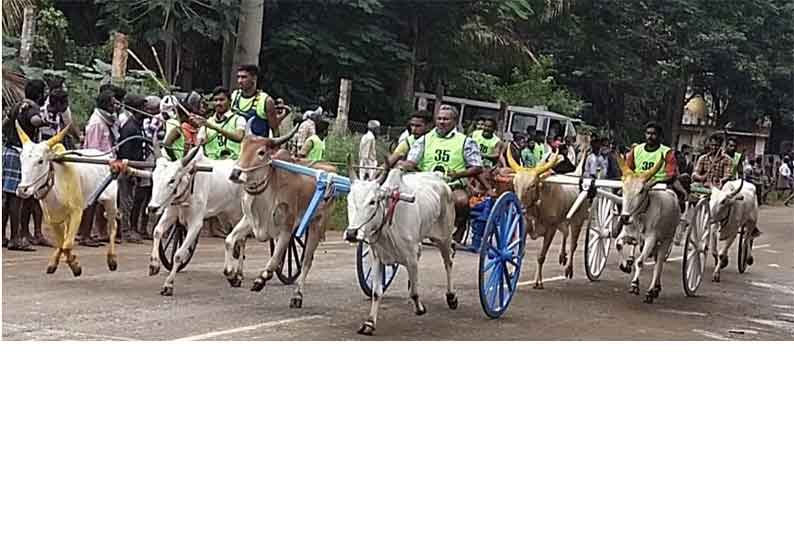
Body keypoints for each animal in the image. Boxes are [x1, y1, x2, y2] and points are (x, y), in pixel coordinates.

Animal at [144, 138, 240, 296]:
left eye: (172, 180)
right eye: (153, 177)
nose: (152, 208)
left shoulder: (196, 224)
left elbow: (178, 255)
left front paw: (168, 284)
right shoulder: (170, 213)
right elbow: (157, 231)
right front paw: (153, 265)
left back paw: (236, 274)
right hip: (225, 217)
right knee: (235, 241)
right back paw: (235, 276)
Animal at [223, 124, 332, 310]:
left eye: (261, 152)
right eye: (242, 147)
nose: (235, 173)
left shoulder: (287, 229)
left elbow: (275, 259)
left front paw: (260, 280)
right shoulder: (249, 221)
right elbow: (230, 240)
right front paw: (230, 274)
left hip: (317, 223)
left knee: (306, 261)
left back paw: (297, 296)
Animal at [342, 166, 458, 336]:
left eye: (372, 201)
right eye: (349, 200)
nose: (351, 234)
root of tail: (440, 178)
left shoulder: (411, 256)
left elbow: (415, 292)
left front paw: (420, 308)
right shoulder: (377, 257)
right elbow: (376, 292)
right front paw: (369, 323)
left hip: (445, 237)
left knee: (448, 262)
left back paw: (451, 297)